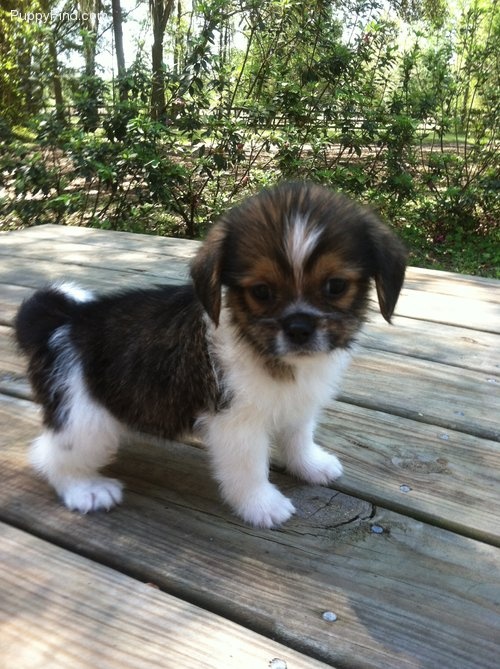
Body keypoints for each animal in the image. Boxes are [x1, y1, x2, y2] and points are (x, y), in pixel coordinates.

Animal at [14, 180, 406, 524]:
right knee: (49, 454)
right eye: (262, 292)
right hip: (84, 420)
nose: (299, 328)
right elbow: (249, 468)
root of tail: (67, 319)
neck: (262, 348)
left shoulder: (297, 404)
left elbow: (298, 437)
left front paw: (311, 465)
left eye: (335, 286)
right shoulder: (235, 424)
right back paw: (84, 489)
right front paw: (261, 505)